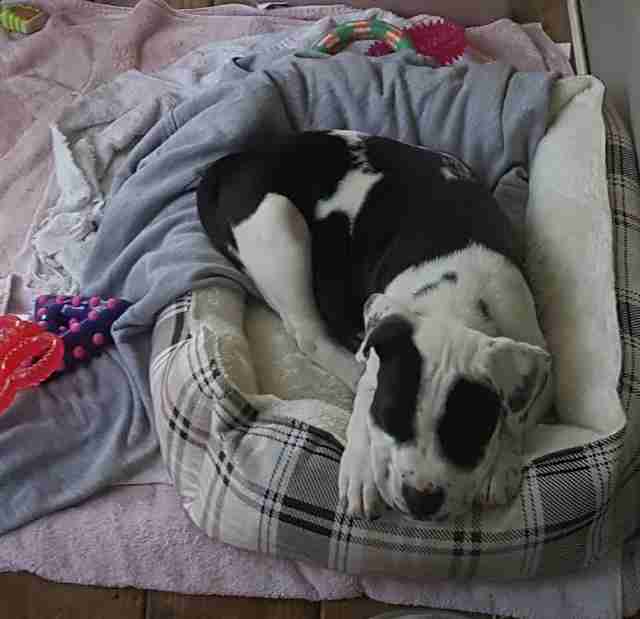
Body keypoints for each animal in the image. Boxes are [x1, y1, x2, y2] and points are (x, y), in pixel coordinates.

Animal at [198, 131, 552, 524]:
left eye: (467, 435)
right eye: (388, 417)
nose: (421, 499)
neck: (453, 305)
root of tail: (234, 160)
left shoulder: (536, 357)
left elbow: (519, 414)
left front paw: (501, 464)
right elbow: (365, 400)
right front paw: (360, 468)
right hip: (278, 225)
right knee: (310, 334)